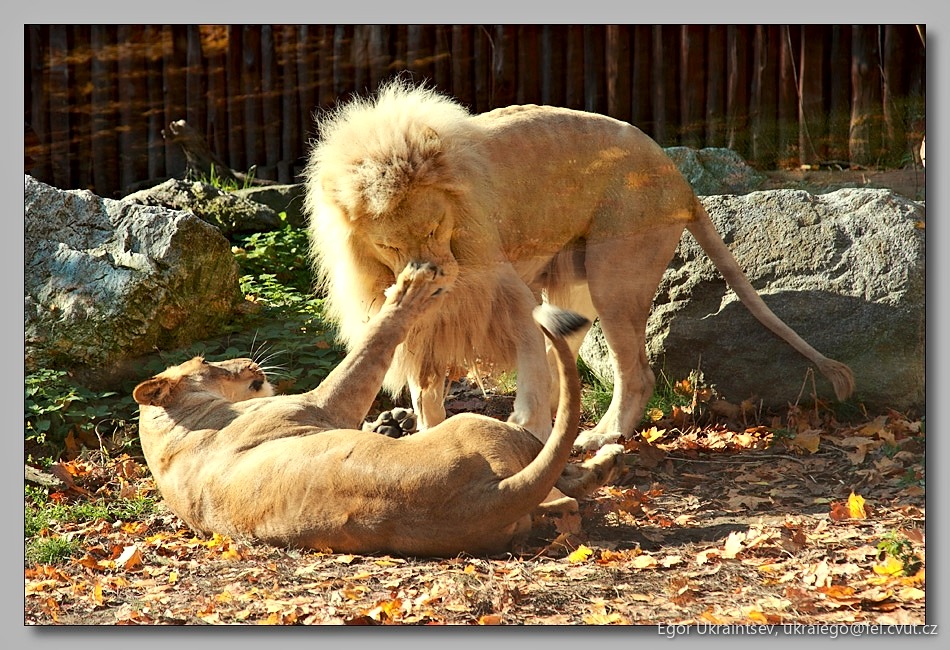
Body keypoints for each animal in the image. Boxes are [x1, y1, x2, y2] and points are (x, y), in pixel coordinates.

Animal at [133, 262, 625, 557]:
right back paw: (606, 458)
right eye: (206, 362)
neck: (173, 441)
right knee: (565, 482)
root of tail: (482, 498)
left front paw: (390, 422)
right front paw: (412, 288)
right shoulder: (320, 403)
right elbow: (372, 346)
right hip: (482, 423)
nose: (251, 363)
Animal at [304, 80, 855, 451]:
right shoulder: (430, 320)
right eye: (391, 246)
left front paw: (524, 426)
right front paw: (430, 438)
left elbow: (524, 359)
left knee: (636, 374)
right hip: (569, 280)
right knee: (566, 357)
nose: (435, 279)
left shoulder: (504, 287)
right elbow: (426, 390)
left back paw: (599, 437)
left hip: (614, 276)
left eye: (437, 228)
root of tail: (679, 178)